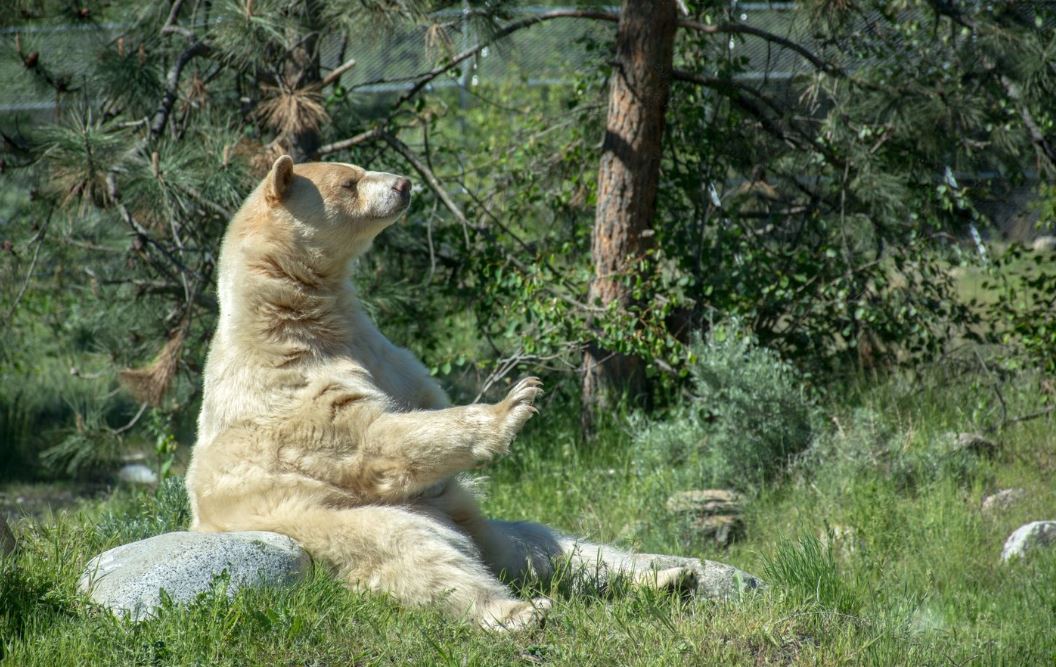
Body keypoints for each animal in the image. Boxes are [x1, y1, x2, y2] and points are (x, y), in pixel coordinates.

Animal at [184, 156, 705, 629]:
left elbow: (419, 396)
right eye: (350, 182)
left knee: (548, 548)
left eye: (358, 167)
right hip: (332, 520)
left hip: (463, 519)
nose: (402, 183)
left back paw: (668, 577)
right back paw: (519, 611)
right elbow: (370, 438)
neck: (288, 313)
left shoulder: (377, 348)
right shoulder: (290, 383)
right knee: (419, 553)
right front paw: (514, 403)